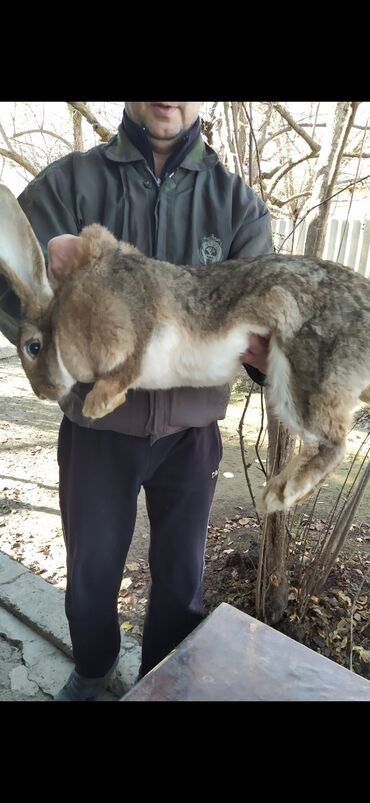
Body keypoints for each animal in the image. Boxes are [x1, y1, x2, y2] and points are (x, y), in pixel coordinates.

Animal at [0, 183, 370, 516]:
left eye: (33, 347)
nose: (45, 393)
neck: (64, 318)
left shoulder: (129, 331)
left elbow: (127, 367)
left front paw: (97, 404)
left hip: (304, 374)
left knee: (334, 443)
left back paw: (277, 495)